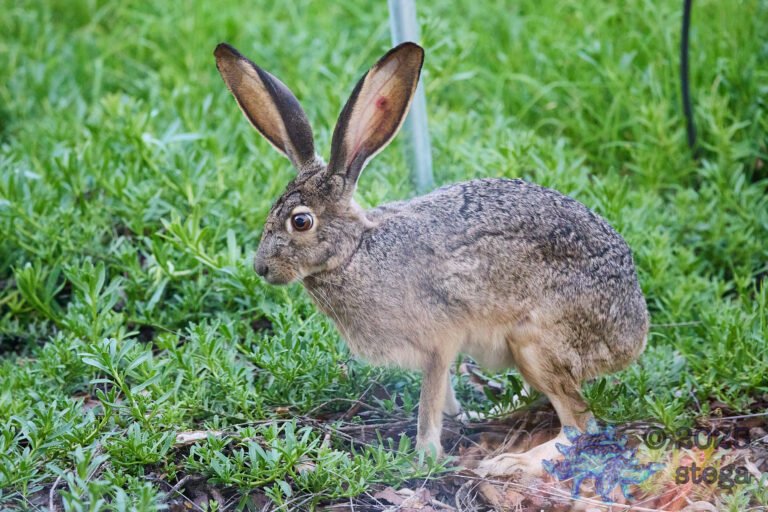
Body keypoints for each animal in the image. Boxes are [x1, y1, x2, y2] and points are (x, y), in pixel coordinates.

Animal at [214, 41, 649, 476]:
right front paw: (456, 420)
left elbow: (430, 399)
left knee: (581, 424)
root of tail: (633, 333)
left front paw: (423, 457)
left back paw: (510, 462)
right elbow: (445, 394)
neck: (354, 251)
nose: (261, 269)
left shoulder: (440, 340)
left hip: (536, 345)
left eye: (300, 221)